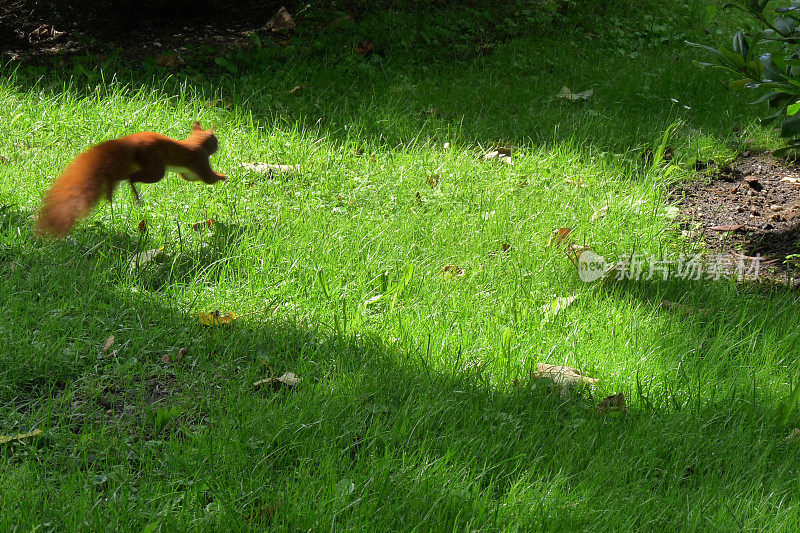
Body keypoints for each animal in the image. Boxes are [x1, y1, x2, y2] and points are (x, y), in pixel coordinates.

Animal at [36, 122, 225, 237]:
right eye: (215, 140)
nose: (218, 146)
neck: (195, 143)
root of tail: (130, 141)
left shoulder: (190, 172)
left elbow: (189, 177)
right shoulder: (199, 160)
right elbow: (209, 178)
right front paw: (224, 177)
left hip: (130, 163)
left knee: (115, 175)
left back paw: (110, 191)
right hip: (155, 168)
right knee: (131, 178)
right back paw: (132, 193)